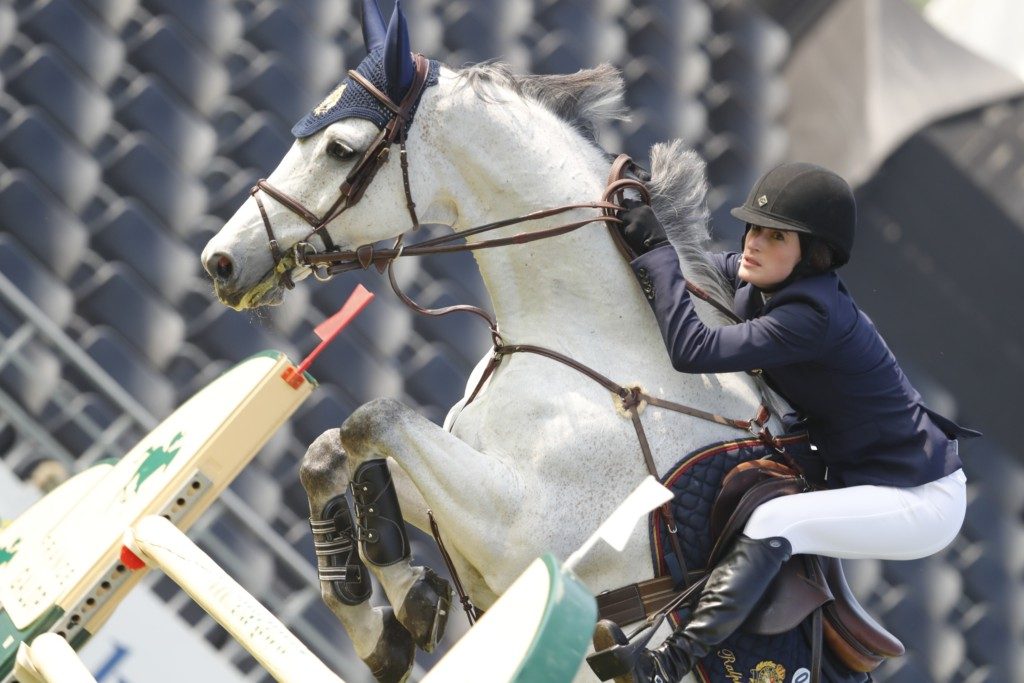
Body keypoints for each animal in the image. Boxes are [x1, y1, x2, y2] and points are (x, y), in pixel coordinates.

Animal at [201, 2, 782, 679]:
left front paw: (410, 601)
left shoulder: (514, 535)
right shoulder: (458, 493)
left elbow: (374, 416)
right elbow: (329, 453)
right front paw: (385, 626)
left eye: (340, 148)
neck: (595, 342)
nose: (220, 262)